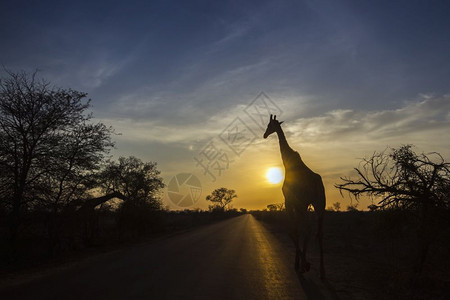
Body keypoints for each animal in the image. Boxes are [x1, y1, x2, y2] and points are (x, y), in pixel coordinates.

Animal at [262, 114, 326, 278]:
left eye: (269, 125)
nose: (264, 135)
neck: (288, 162)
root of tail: (317, 184)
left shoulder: (289, 201)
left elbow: (292, 229)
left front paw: (301, 264)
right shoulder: (298, 204)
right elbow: (296, 228)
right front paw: (300, 262)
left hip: (305, 204)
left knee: (307, 228)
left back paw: (306, 266)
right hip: (319, 204)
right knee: (318, 232)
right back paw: (322, 272)